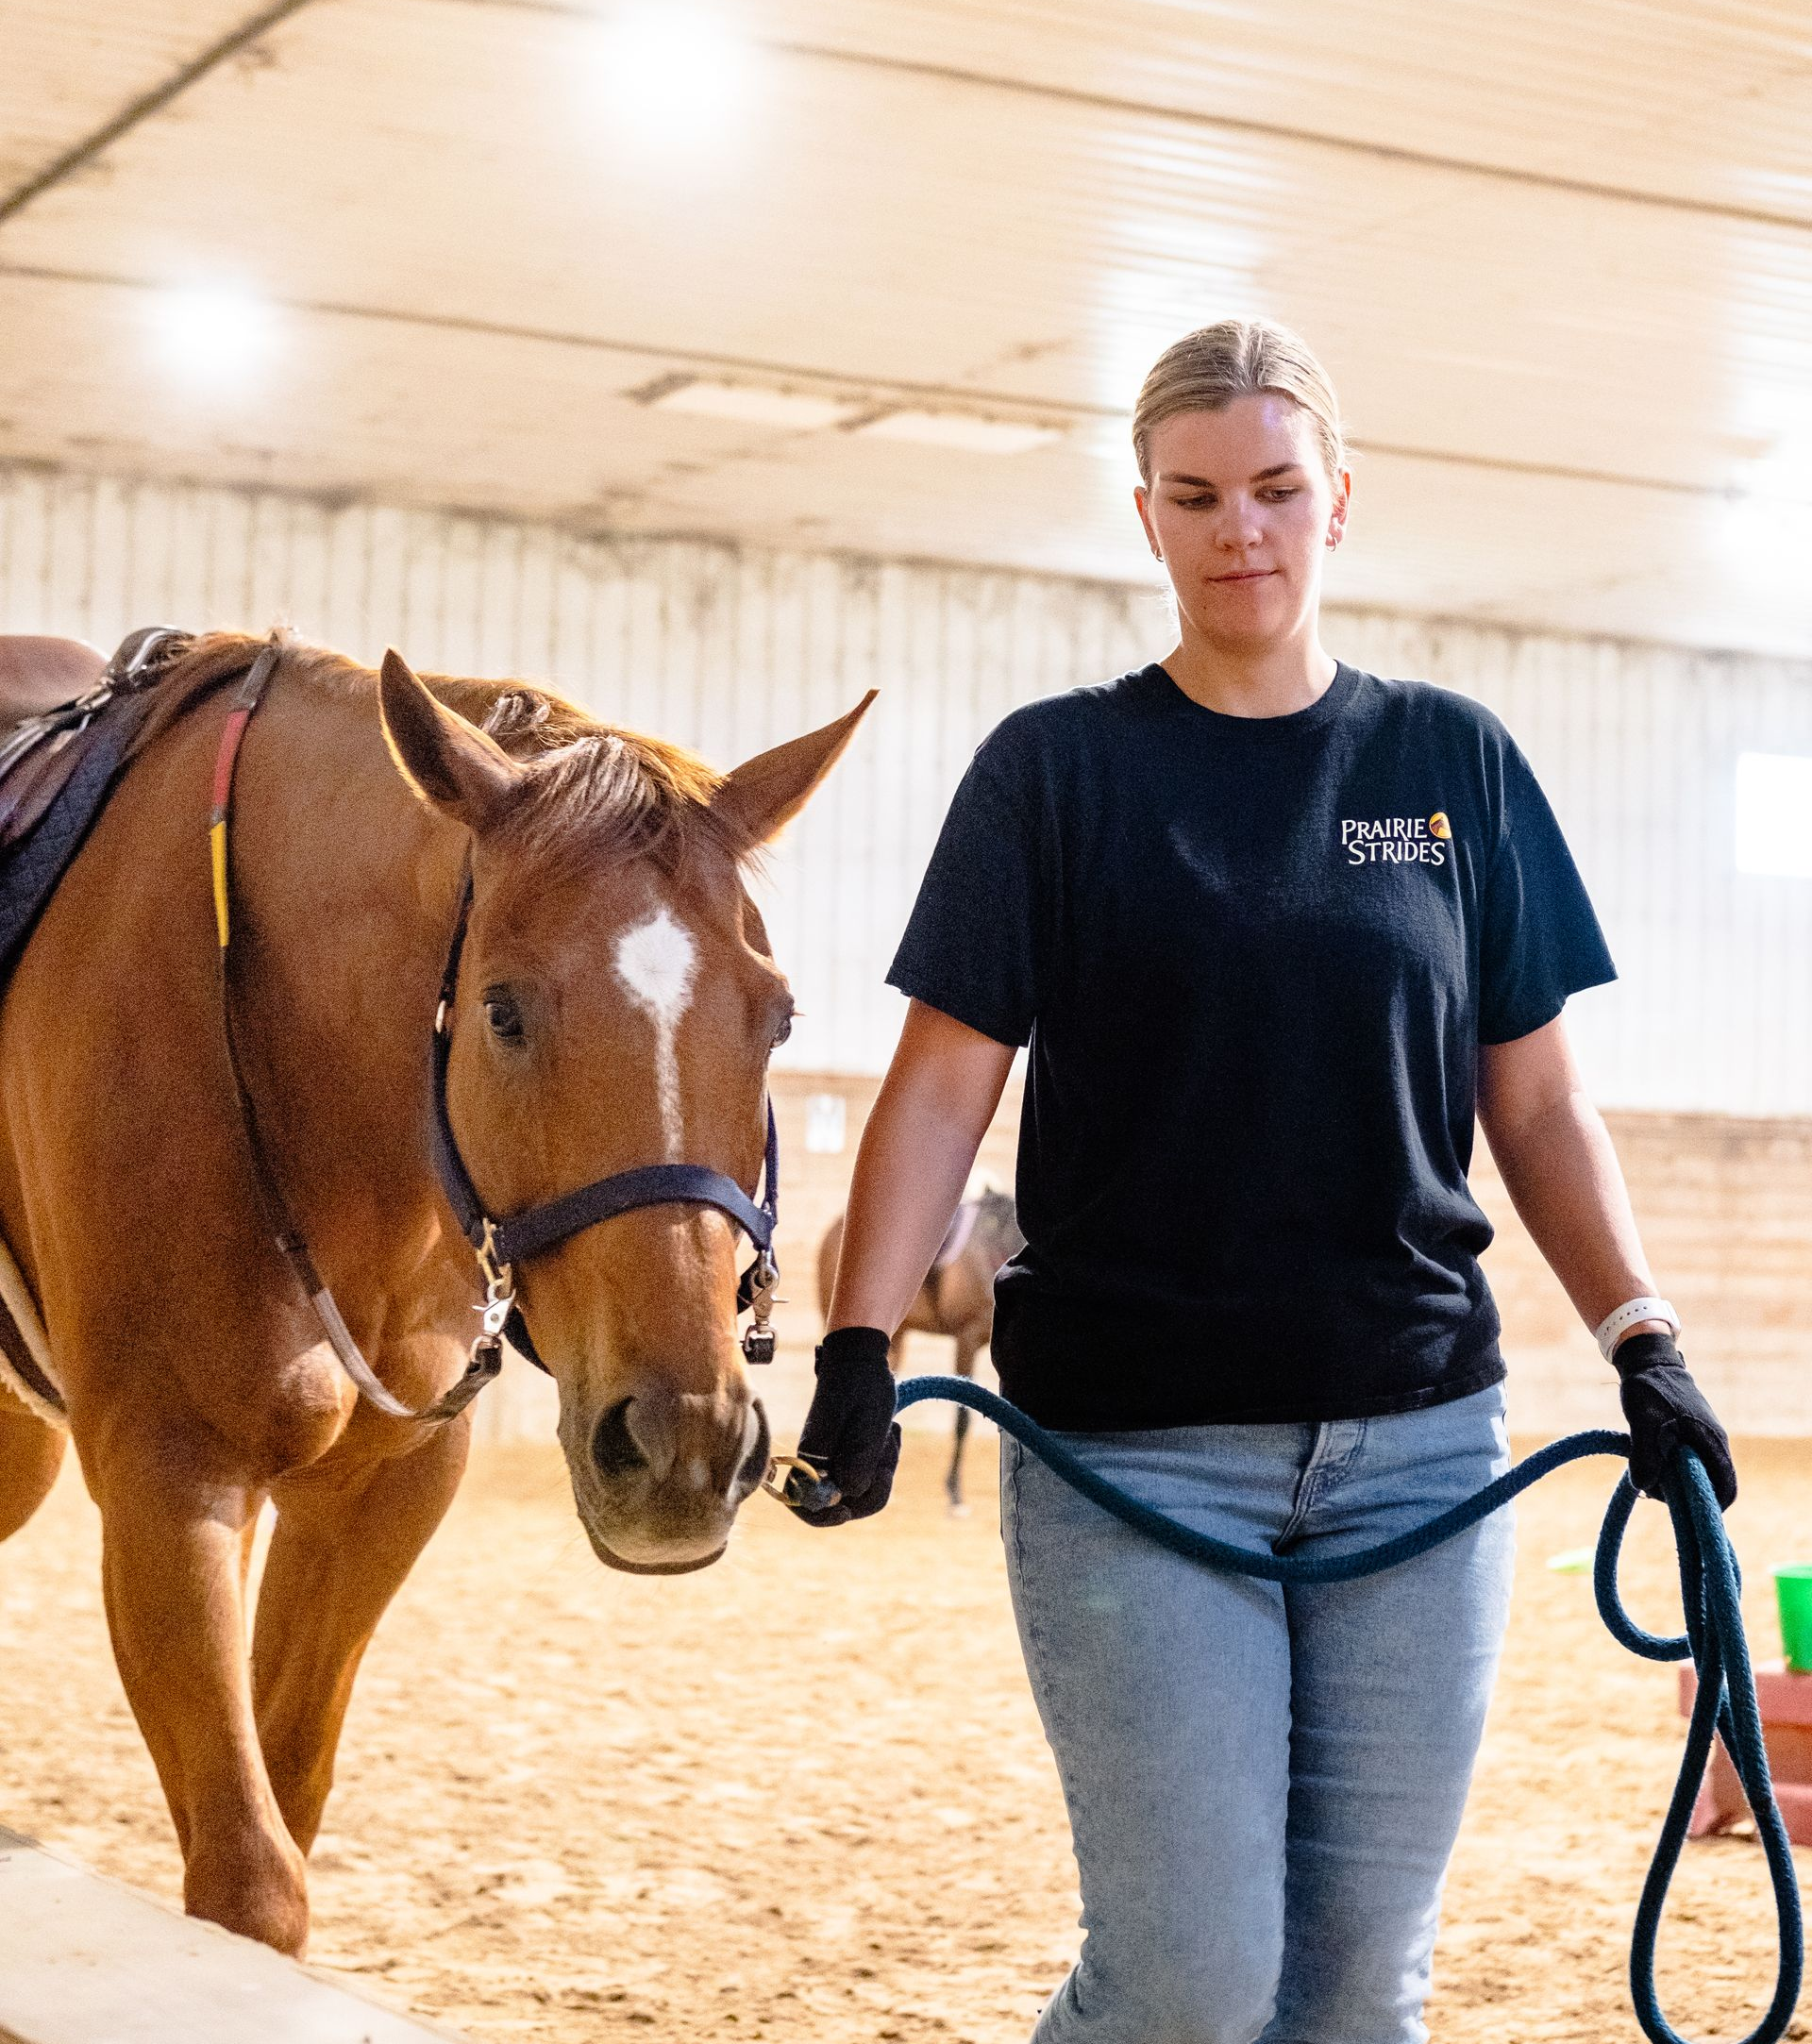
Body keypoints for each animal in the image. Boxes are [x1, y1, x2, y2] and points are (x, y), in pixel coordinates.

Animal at [0, 627, 871, 1956]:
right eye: (502, 1009)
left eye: (776, 1018)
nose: (680, 1446)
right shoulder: (164, 1483)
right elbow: (249, 1882)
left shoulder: (378, 1495)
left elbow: (284, 1804)